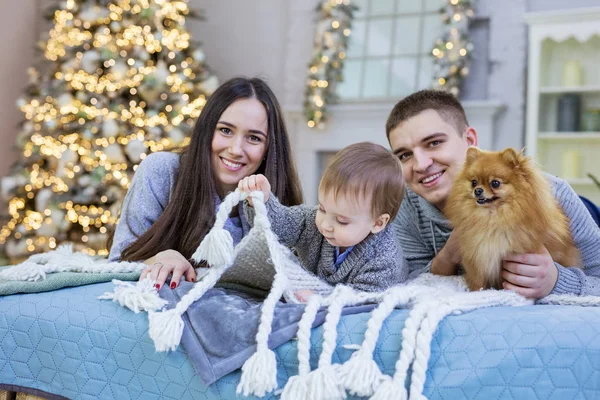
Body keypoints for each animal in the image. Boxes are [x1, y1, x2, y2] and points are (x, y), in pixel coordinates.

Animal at [442, 147, 580, 290]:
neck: (491, 218)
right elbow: (477, 281)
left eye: (495, 183)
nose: (478, 190)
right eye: (474, 182)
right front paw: (476, 291)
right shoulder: (476, 257)